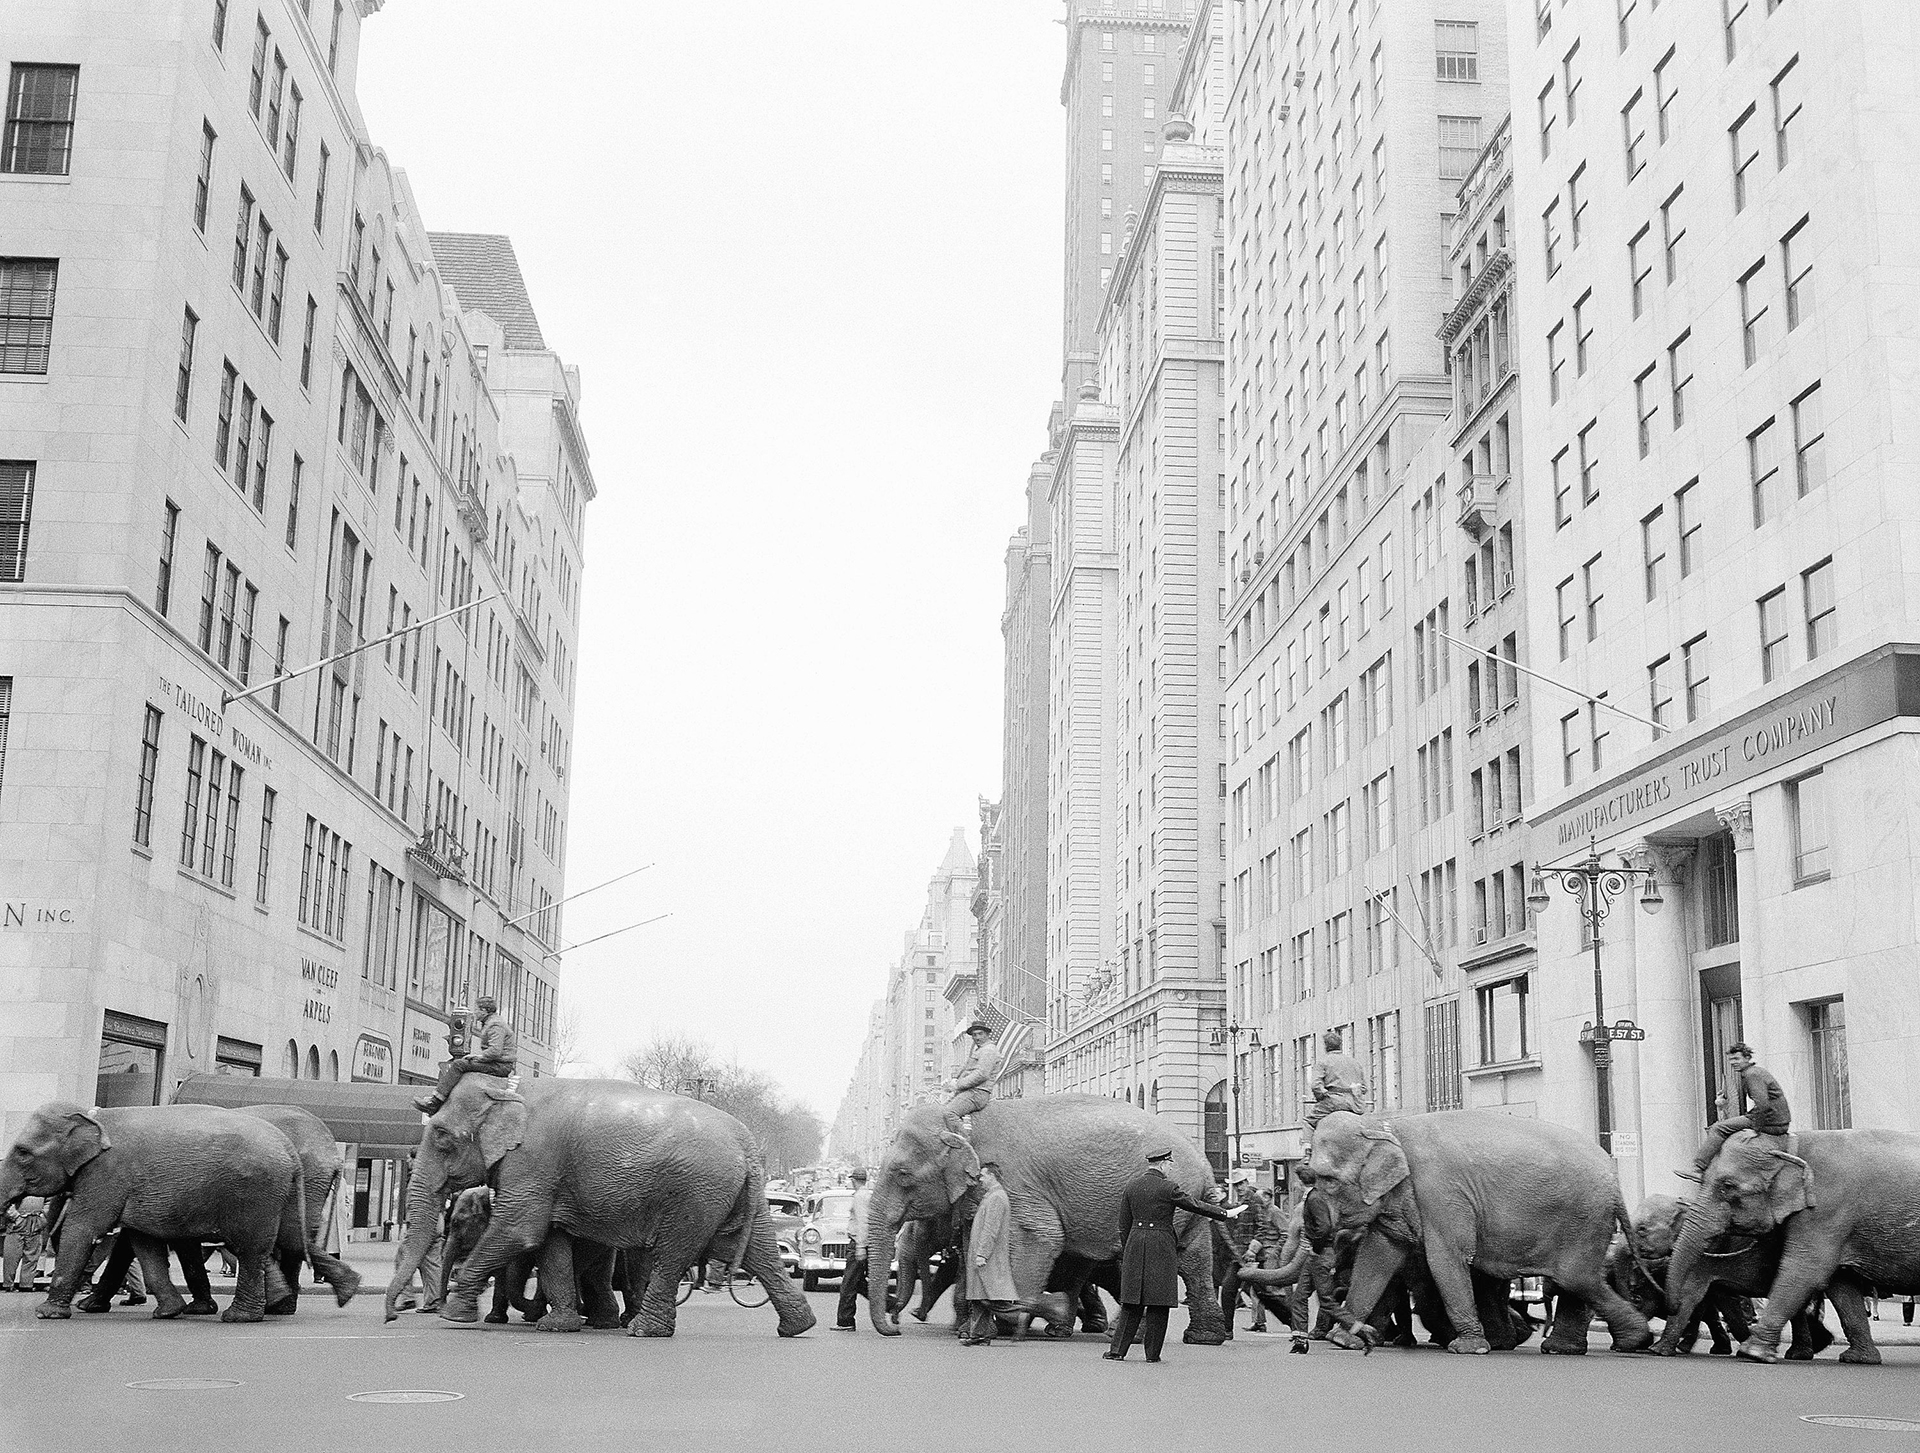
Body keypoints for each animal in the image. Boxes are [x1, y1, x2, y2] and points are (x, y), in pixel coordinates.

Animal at [0, 1097, 357, 1328]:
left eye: (22, 1153)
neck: (96, 1115)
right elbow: (143, 1240)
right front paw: (174, 1311)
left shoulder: (109, 1174)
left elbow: (85, 1228)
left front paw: (50, 1313)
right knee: (291, 1237)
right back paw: (343, 1291)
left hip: (263, 1190)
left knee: (257, 1247)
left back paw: (248, 1315)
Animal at [385, 1074, 814, 1328]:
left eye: (441, 1135)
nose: (392, 1317)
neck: (506, 1088)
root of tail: (747, 1142)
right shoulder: (547, 1173)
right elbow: (551, 1240)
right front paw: (557, 1325)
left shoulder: (533, 1160)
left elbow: (520, 1230)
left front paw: (456, 1316)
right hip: (733, 1195)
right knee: (754, 1248)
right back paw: (798, 1326)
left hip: (695, 1193)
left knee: (674, 1252)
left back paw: (643, 1331)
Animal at [867, 1090, 1228, 1343]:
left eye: (902, 1175)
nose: (897, 1326)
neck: (960, 1121)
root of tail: (1205, 1164)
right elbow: (975, 1248)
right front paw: (974, 1329)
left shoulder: (1016, 1183)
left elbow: (1041, 1236)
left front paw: (1013, 1319)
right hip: (1187, 1206)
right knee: (1193, 1260)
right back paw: (1203, 1338)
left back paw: (1111, 1333)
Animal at [1313, 1105, 1658, 1351]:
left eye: (1327, 1179)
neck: (1385, 1127)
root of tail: (1615, 1180)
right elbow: (1376, 1258)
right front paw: (1342, 1341)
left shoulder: (1440, 1192)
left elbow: (1447, 1257)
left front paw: (1469, 1348)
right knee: (1575, 1282)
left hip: (1583, 1219)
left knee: (1576, 1279)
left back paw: (1633, 1342)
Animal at [1666, 1120, 1920, 1358]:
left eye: (1727, 1186)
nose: (1673, 1305)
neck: (1790, 1145)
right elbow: (1840, 1283)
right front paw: (1857, 1358)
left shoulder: (1825, 1208)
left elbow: (1804, 1270)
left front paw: (1752, 1352)